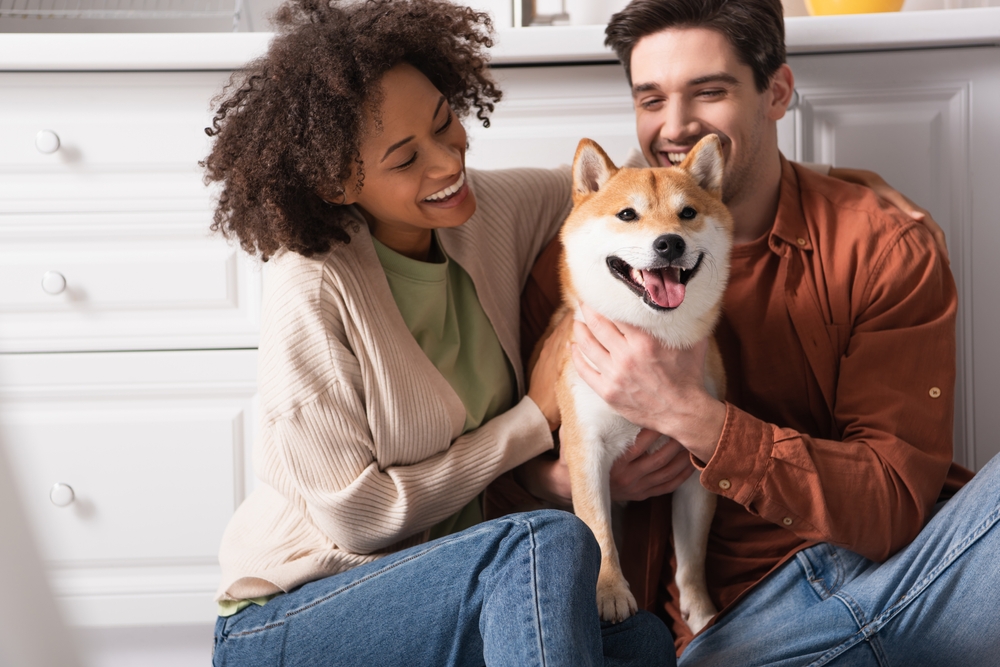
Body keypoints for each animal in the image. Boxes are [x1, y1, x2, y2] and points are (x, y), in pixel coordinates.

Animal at [552, 133, 732, 636]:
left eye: (687, 213)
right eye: (627, 215)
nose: (669, 243)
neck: (651, 338)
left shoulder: (696, 467)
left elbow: (692, 556)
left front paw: (700, 608)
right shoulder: (585, 450)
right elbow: (598, 534)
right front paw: (611, 592)